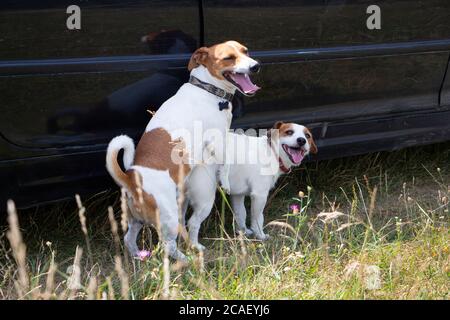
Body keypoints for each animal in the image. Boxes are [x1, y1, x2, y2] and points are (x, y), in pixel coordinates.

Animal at [106, 40, 260, 262]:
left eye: (245, 51)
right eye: (228, 58)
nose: (256, 66)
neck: (208, 90)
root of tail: (131, 179)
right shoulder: (217, 140)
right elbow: (225, 166)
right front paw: (226, 182)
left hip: (137, 220)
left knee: (129, 238)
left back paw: (138, 255)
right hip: (169, 219)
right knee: (168, 245)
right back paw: (186, 260)